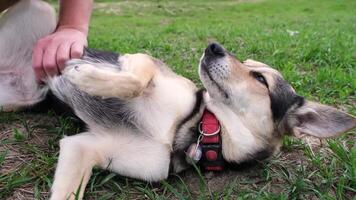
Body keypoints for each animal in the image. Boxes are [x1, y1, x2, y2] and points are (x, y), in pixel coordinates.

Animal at [0, 0, 356, 200]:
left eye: (260, 79)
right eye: (247, 63)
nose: (213, 46)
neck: (193, 128)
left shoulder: (84, 147)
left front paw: (84, 77)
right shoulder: (143, 60)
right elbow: (134, 81)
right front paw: (85, 77)